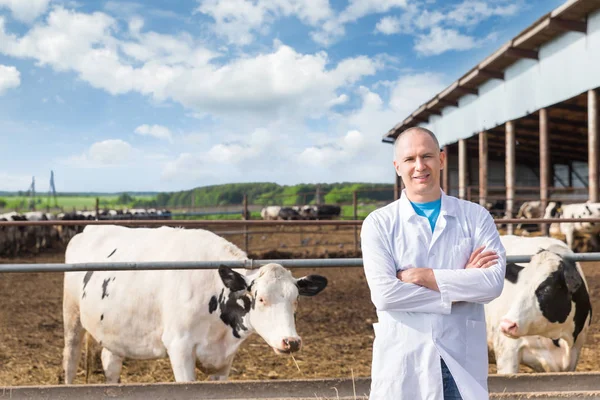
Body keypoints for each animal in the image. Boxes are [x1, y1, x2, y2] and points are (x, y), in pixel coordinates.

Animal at [62, 225, 328, 384]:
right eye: (261, 298)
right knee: (70, 361)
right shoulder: (179, 348)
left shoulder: (224, 360)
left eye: (295, 299)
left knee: (111, 363)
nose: (291, 342)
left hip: (114, 331)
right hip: (72, 318)